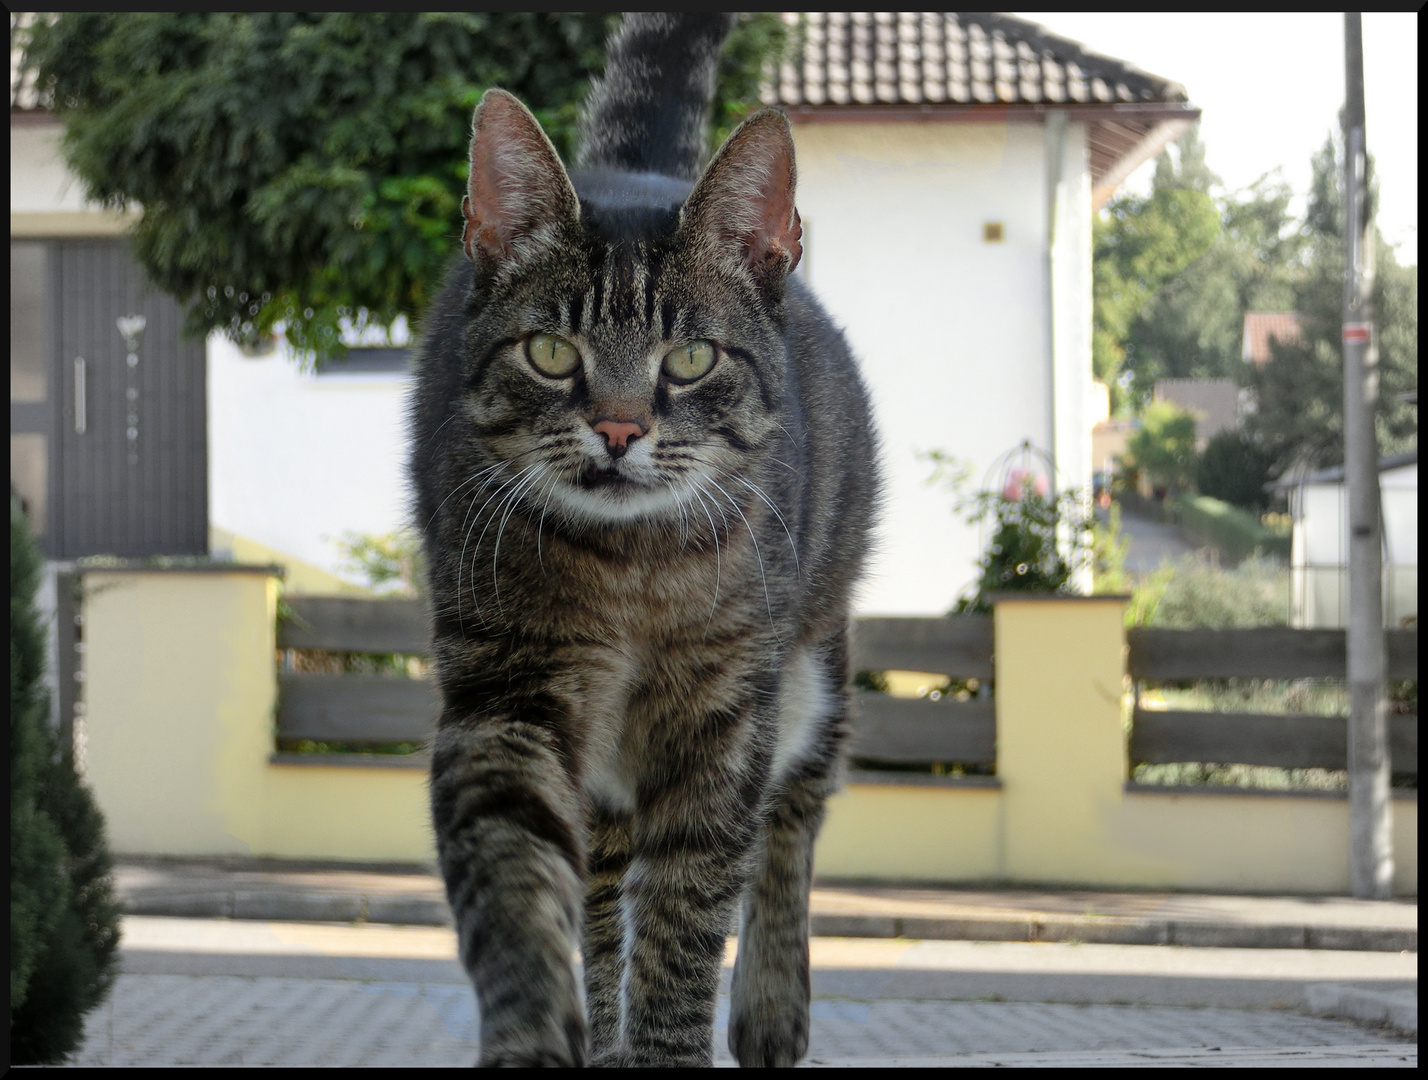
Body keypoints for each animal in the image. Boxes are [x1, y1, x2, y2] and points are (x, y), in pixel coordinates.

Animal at [414, 12, 873, 1068]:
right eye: (552, 351)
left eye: (691, 356)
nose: (620, 429)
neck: (632, 576)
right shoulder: (507, 698)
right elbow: (520, 889)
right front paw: (539, 1027)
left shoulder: (721, 730)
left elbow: (684, 929)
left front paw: (670, 1038)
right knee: (602, 887)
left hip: (812, 671)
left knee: (796, 815)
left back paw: (771, 1005)